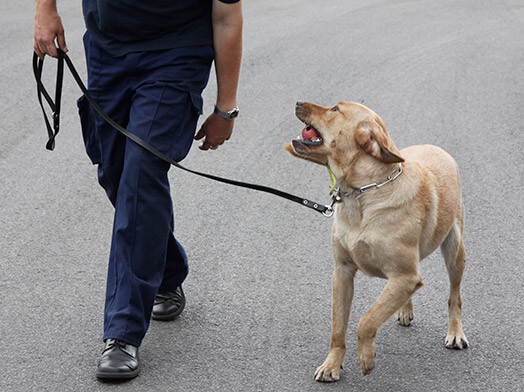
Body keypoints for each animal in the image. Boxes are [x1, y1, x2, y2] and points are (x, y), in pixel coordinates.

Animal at [284, 102, 468, 382]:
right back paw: (404, 309)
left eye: (335, 109)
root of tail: (434, 147)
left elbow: (366, 321)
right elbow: (338, 327)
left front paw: (366, 358)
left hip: (455, 250)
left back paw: (455, 333)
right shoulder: (343, 273)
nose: (298, 102)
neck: (363, 194)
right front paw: (331, 365)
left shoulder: (405, 276)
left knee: (454, 296)